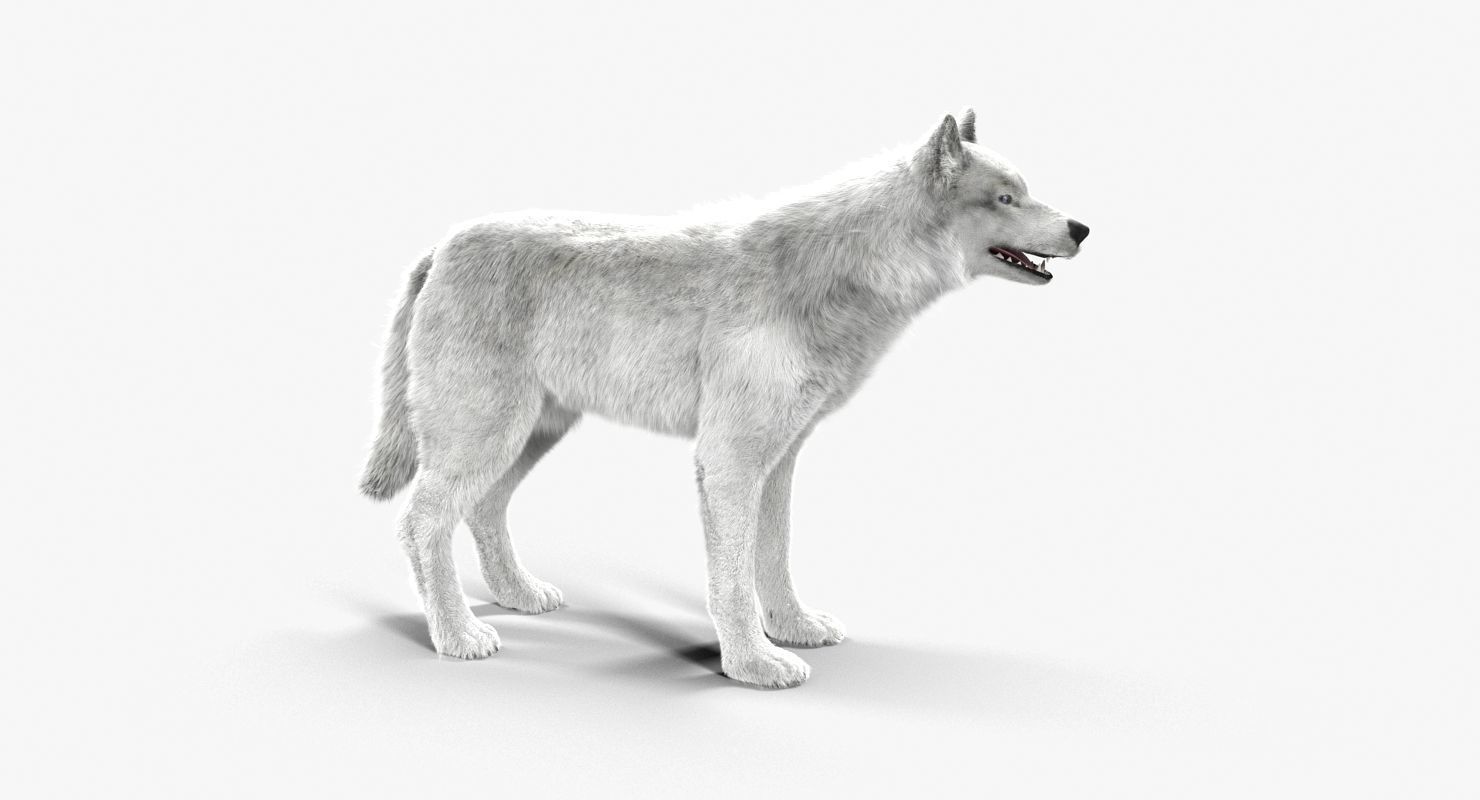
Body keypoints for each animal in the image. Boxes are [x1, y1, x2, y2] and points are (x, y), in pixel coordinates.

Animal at [359, 109, 1089, 688]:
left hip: (528, 436)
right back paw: (457, 637)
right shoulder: (730, 463)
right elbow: (733, 581)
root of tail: (441, 245)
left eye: (1025, 193)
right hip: (488, 436)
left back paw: (519, 596)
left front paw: (793, 629)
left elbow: (774, 558)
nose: (1082, 228)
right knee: (421, 522)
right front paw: (754, 667)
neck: (842, 276)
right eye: (1006, 197)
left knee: (483, 510)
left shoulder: (780, 459)